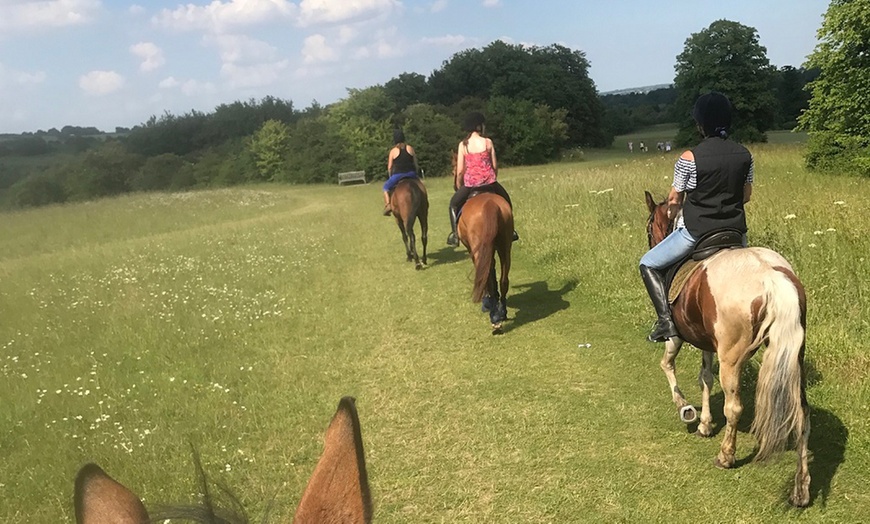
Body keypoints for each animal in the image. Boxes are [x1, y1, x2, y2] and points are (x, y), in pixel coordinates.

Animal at [456, 191, 510, 332]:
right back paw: (502, 311)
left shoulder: (472, 250)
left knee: (486, 279)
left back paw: (494, 316)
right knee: (504, 280)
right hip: (505, 246)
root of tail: (489, 204)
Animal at [644, 192, 816, 508]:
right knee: (802, 414)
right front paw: (705, 424)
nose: (652, 241)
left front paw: (687, 410)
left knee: (734, 407)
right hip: (793, 356)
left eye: (650, 226)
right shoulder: (707, 343)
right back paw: (801, 489)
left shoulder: (675, 335)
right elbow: (705, 377)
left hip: (732, 358)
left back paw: (725, 457)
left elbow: (668, 365)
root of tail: (771, 276)